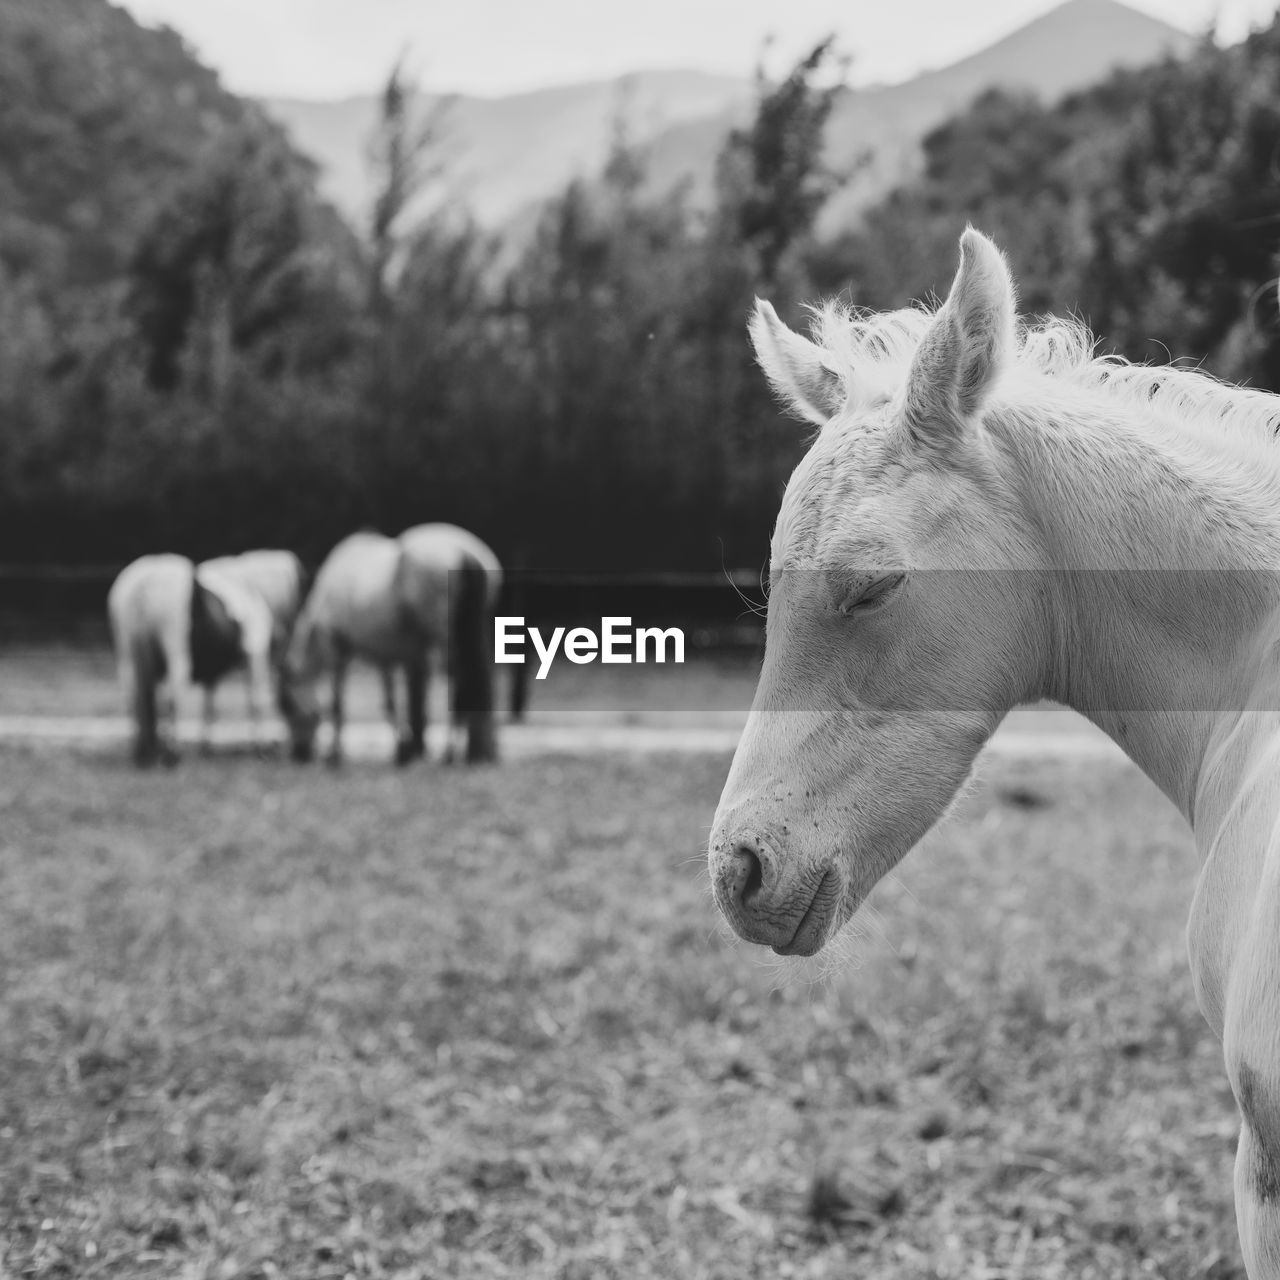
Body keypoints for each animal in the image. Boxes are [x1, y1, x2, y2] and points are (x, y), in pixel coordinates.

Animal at [111, 550, 279, 757]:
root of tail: (142, 585)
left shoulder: (212, 669)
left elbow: (209, 705)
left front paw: (205, 746)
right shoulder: (254, 651)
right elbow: (256, 700)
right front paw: (261, 747)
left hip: (127, 653)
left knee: (134, 697)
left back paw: (145, 751)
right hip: (176, 650)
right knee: (173, 698)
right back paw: (172, 752)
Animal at [284, 522, 499, 762]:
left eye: (288, 708)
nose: (299, 753)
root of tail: (465, 554)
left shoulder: (338, 649)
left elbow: (336, 704)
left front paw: (334, 754)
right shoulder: (388, 655)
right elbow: (392, 703)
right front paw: (404, 749)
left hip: (445, 637)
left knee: (456, 681)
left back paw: (448, 752)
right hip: (481, 629)